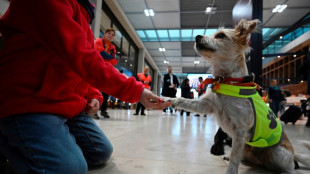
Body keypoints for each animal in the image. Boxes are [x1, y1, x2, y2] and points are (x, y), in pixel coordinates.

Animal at [163, 19, 308, 174]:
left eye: (220, 35)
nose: (197, 36)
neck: (227, 81)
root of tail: (293, 154)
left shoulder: (240, 129)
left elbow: (234, 157)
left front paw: (230, 170)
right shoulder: (206, 105)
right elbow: (183, 100)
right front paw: (167, 99)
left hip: (278, 154)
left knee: (289, 167)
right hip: (248, 149)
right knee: (248, 159)